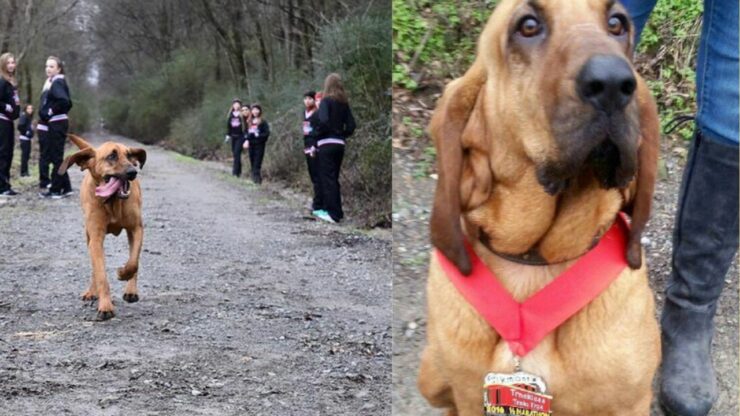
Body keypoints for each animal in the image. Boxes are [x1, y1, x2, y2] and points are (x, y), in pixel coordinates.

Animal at [59, 135, 146, 320]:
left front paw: (123, 273)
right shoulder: (96, 238)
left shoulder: (136, 229)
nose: (133, 172)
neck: (112, 202)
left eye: (129, 155)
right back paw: (92, 292)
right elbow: (101, 275)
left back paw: (131, 291)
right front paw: (105, 306)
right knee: (94, 267)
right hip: (88, 237)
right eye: (111, 156)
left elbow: (133, 262)